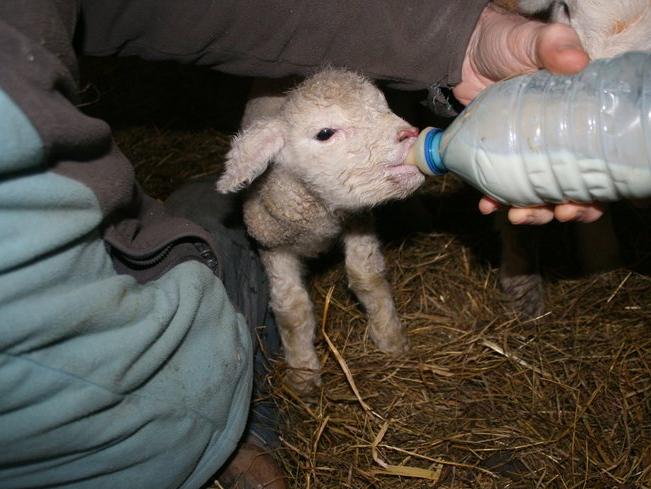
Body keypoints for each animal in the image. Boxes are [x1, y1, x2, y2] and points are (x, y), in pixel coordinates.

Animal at [216, 69, 424, 394]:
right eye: (325, 133)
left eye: (383, 105)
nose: (409, 134)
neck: (318, 219)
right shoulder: (273, 248)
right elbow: (292, 309)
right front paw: (302, 374)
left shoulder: (358, 221)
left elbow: (366, 277)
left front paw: (390, 338)